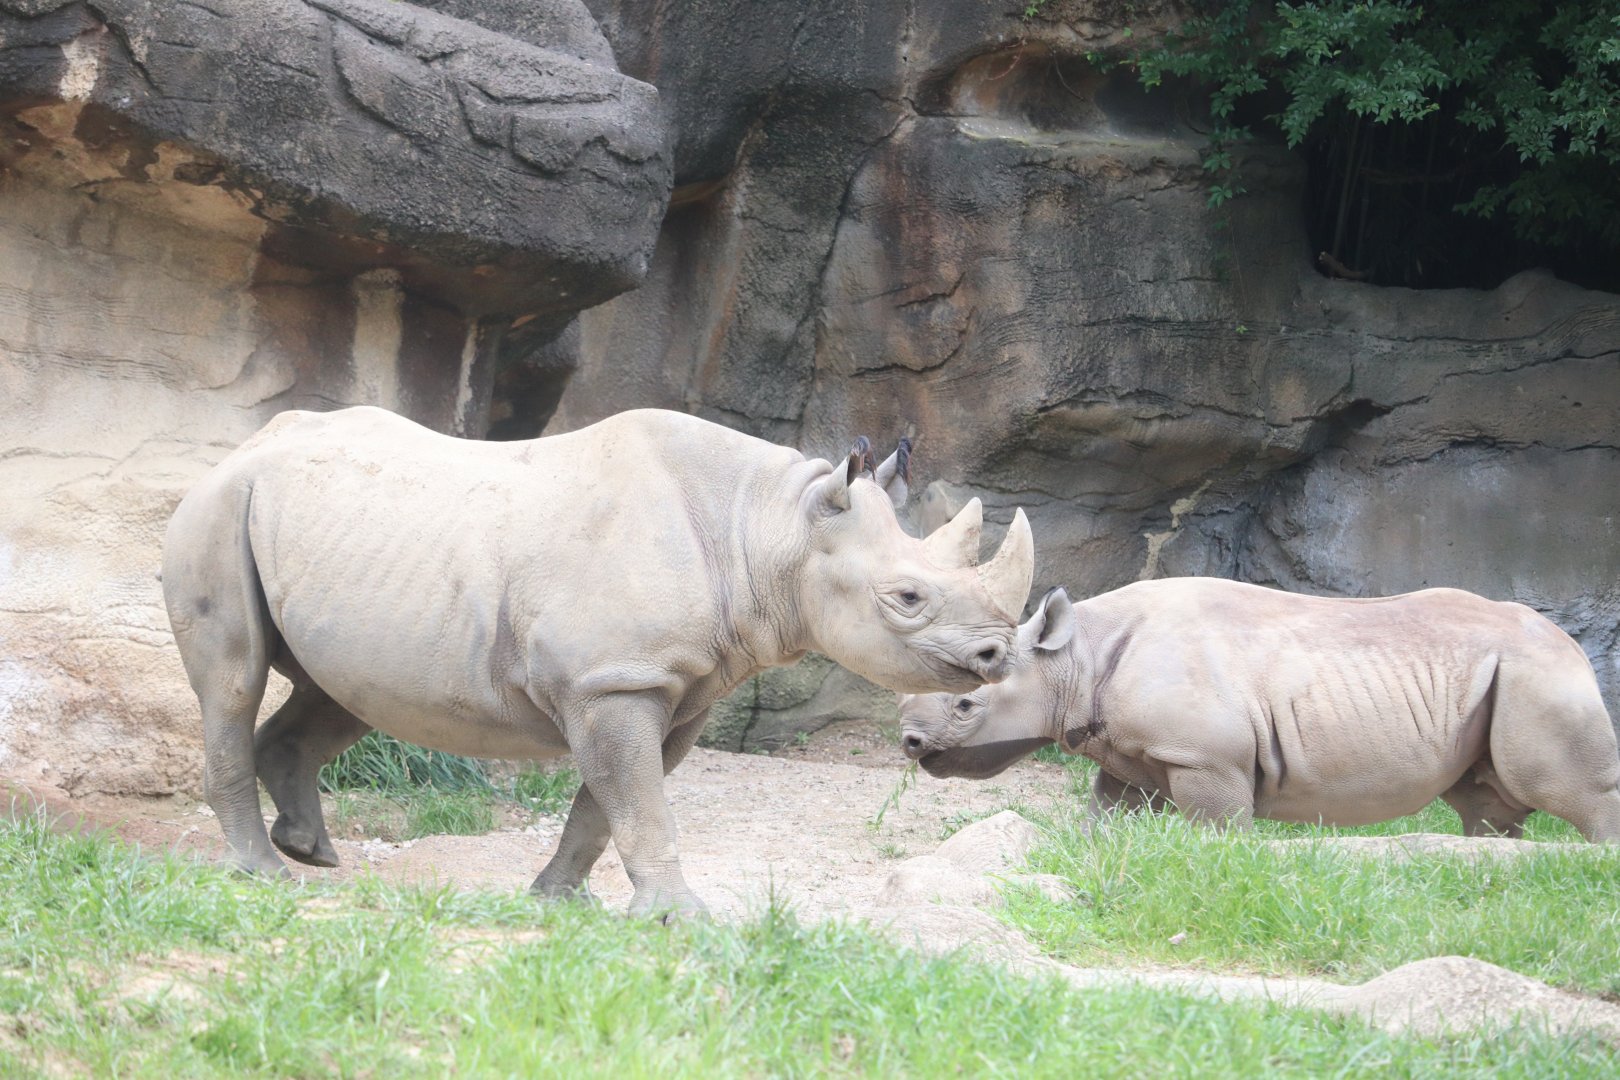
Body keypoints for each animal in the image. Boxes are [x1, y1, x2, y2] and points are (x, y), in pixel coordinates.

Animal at [163, 406, 1035, 915]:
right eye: (907, 598)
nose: (998, 654)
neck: (768, 528)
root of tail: (240, 446)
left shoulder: (671, 688)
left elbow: (605, 806)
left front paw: (555, 903)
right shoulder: (612, 681)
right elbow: (638, 803)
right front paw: (680, 920)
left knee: (344, 692)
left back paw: (309, 851)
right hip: (217, 510)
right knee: (234, 683)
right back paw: (264, 875)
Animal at [899, 578, 1620, 841]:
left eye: (966, 704)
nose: (909, 743)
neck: (1072, 658)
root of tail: (1575, 647)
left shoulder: (1204, 757)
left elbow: (1219, 830)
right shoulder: (1130, 754)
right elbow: (1107, 816)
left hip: (1539, 676)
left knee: (1567, 788)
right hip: (1506, 679)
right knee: (1485, 803)